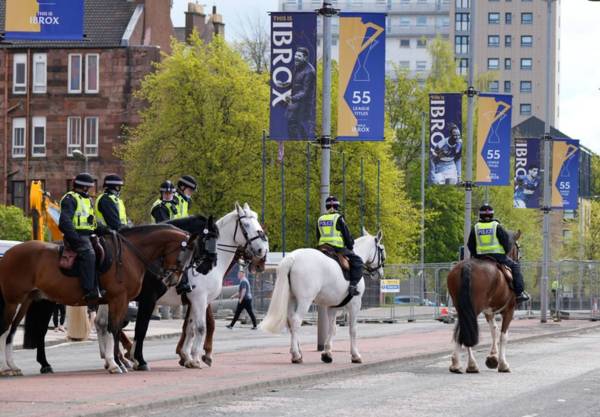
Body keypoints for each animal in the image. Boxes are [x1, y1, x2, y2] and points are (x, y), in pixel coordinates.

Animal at [0, 224, 192, 374]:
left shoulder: (119, 301)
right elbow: (116, 329)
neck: (129, 254)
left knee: (13, 331)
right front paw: (117, 363)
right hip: (14, 302)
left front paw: (118, 361)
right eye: (185, 255)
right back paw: (7, 368)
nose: (174, 280)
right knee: (5, 330)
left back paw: (15, 366)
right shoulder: (121, 299)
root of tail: (8, 254)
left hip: (27, 301)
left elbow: (114, 329)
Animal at [97, 203, 268, 368]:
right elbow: (203, 326)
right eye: (246, 224)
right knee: (111, 325)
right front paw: (198, 357)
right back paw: (119, 358)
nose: (263, 251)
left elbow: (190, 327)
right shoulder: (199, 299)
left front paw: (187, 356)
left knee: (103, 324)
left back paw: (113, 358)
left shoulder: (194, 301)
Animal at [262, 229, 384, 362]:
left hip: (291, 299)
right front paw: (355, 355)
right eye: (382, 250)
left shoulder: (332, 307)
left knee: (290, 322)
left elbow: (332, 329)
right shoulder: (355, 305)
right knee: (296, 321)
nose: (380, 273)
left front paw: (327, 353)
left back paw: (297, 351)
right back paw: (296, 355)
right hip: (305, 301)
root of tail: (292, 258)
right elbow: (353, 330)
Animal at [446, 229, 520, 372]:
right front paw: (503, 364)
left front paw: (492, 357)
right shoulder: (509, 310)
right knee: (466, 330)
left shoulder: (488, 312)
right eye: (518, 249)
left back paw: (456, 364)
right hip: (474, 307)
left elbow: (494, 330)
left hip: (461, 307)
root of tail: (467, 266)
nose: (518, 259)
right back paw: (471, 364)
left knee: (461, 330)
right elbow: (503, 335)